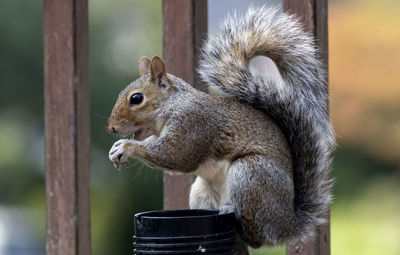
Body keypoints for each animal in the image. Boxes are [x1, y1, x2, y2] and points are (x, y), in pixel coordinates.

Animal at [106, 6, 334, 254]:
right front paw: (117, 149)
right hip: (201, 193)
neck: (173, 105)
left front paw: (127, 147)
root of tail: (287, 223)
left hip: (251, 174)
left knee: (256, 236)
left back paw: (232, 212)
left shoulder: (193, 124)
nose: (111, 128)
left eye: (136, 98)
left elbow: (175, 155)